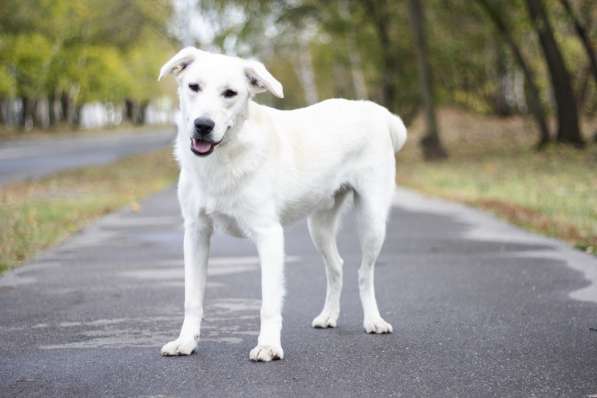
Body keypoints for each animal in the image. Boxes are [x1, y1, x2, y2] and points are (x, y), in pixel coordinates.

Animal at [156, 48, 406, 362]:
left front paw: (268, 346)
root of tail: (374, 110)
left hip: (372, 221)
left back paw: (373, 320)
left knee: (364, 273)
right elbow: (192, 299)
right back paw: (328, 316)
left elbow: (269, 303)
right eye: (193, 86)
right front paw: (186, 341)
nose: (203, 125)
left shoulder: (269, 236)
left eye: (230, 93)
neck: (223, 158)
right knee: (336, 267)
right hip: (319, 226)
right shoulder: (196, 233)